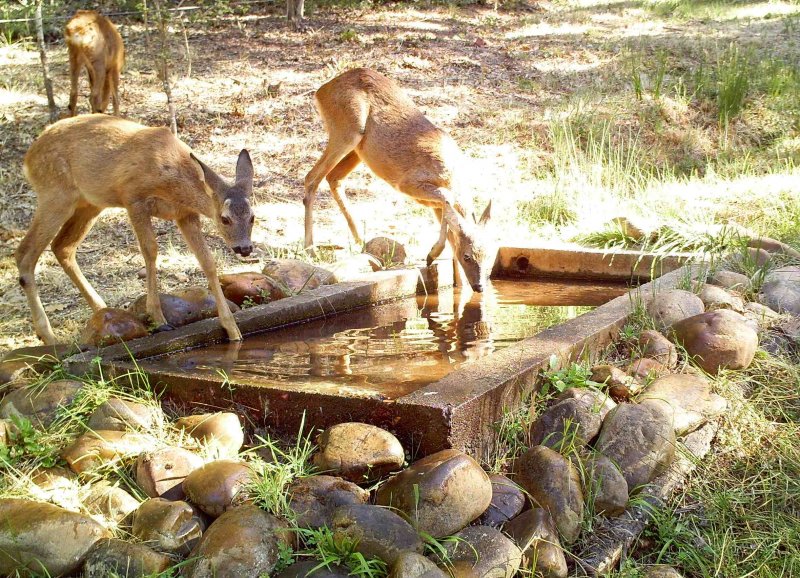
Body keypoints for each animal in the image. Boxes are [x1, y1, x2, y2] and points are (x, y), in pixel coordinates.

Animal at [15, 115, 255, 344]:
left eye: (252, 217)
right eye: (224, 219)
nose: (244, 248)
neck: (171, 178)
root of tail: (28, 158)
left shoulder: (185, 214)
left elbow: (207, 262)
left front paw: (233, 329)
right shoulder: (133, 198)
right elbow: (150, 250)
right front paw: (158, 319)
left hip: (89, 203)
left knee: (62, 247)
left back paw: (101, 310)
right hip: (55, 193)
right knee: (25, 252)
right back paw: (48, 336)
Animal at [304, 68, 494, 292]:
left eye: (490, 255)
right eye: (467, 256)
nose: (480, 286)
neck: (452, 176)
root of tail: (321, 91)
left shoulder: (435, 206)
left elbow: (451, 232)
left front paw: (455, 281)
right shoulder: (408, 183)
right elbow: (447, 201)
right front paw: (432, 255)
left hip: (359, 150)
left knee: (333, 177)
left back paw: (361, 242)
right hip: (348, 130)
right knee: (312, 177)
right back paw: (310, 249)